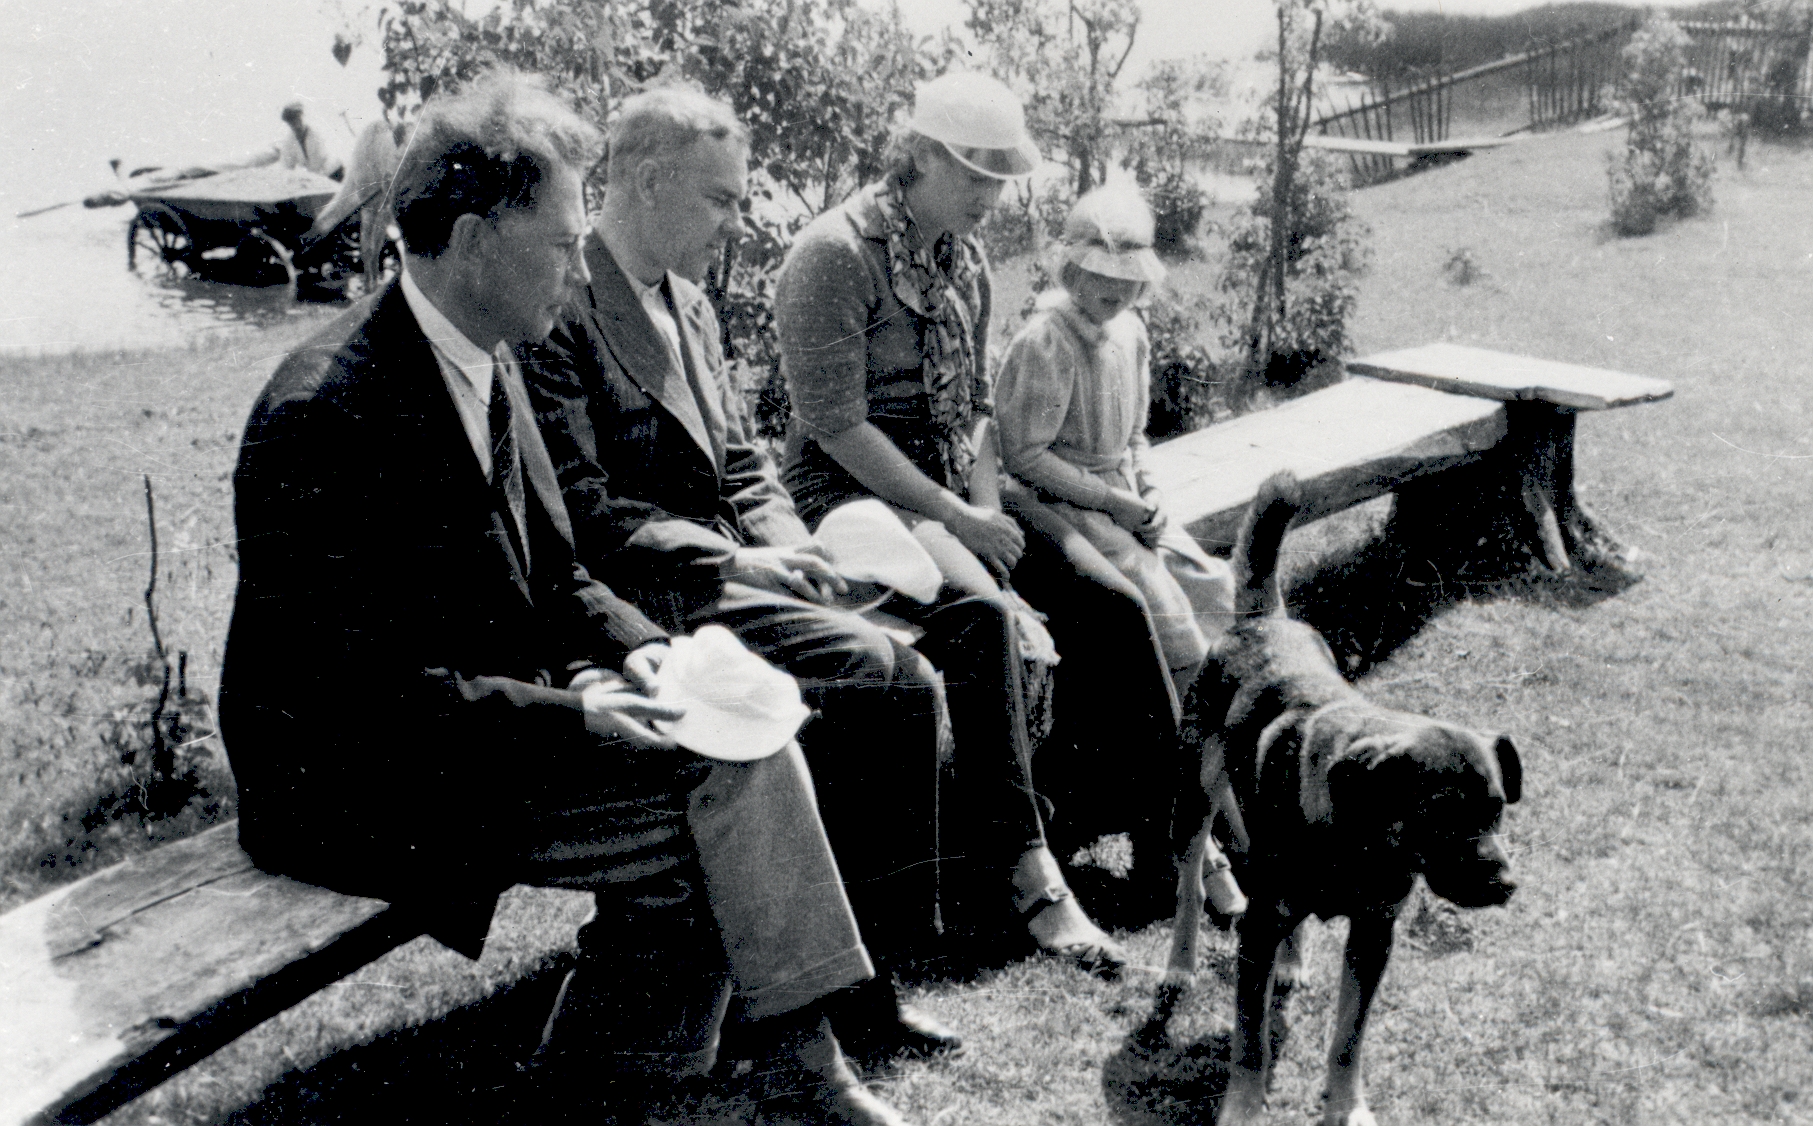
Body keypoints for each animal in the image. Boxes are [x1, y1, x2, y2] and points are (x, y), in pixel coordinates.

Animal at [1153, 471, 1522, 1124]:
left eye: (1498, 810)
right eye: (1438, 814)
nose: (1506, 883)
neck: (1358, 842)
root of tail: (1262, 619)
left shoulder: (1374, 935)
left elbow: (1349, 1036)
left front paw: (1347, 1107)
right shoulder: (1258, 927)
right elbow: (1250, 1039)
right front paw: (1243, 1107)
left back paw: (1293, 962)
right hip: (1194, 800)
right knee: (1192, 887)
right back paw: (1180, 964)